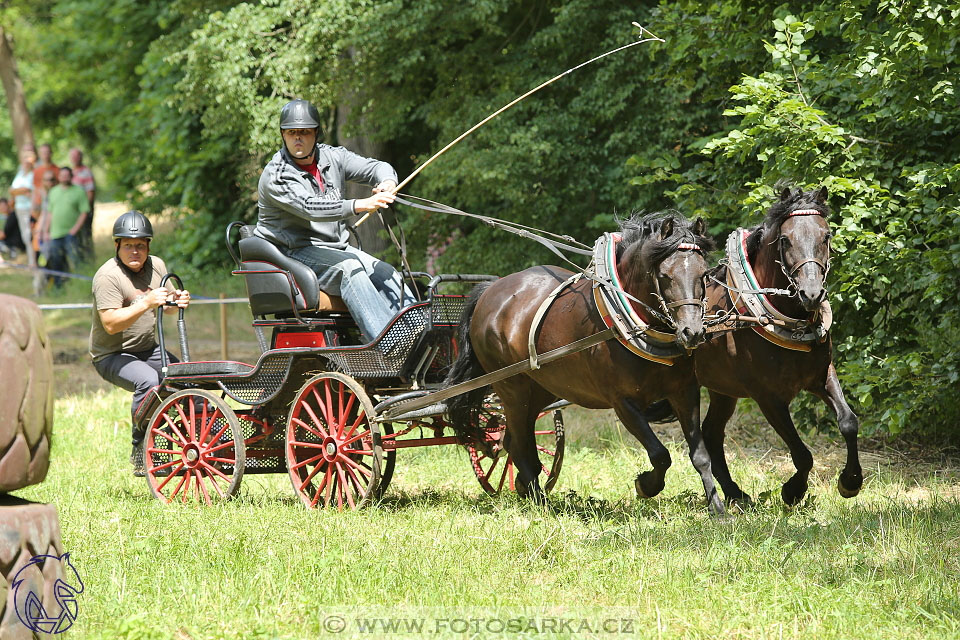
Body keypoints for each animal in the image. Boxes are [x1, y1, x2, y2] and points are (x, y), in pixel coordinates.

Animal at [446, 214, 724, 516]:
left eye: (704, 274)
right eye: (664, 276)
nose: (692, 332)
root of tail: (489, 292)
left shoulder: (684, 392)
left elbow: (700, 454)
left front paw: (717, 508)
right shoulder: (623, 402)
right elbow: (660, 455)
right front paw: (645, 485)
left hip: (540, 390)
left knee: (514, 442)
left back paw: (524, 488)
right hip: (512, 388)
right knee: (518, 443)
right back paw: (539, 501)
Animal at [688, 185, 864, 504]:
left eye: (826, 236)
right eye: (785, 239)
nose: (811, 293)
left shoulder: (822, 376)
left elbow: (848, 422)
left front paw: (850, 481)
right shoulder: (768, 398)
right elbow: (802, 454)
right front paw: (793, 491)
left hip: (722, 388)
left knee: (712, 432)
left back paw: (735, 494)